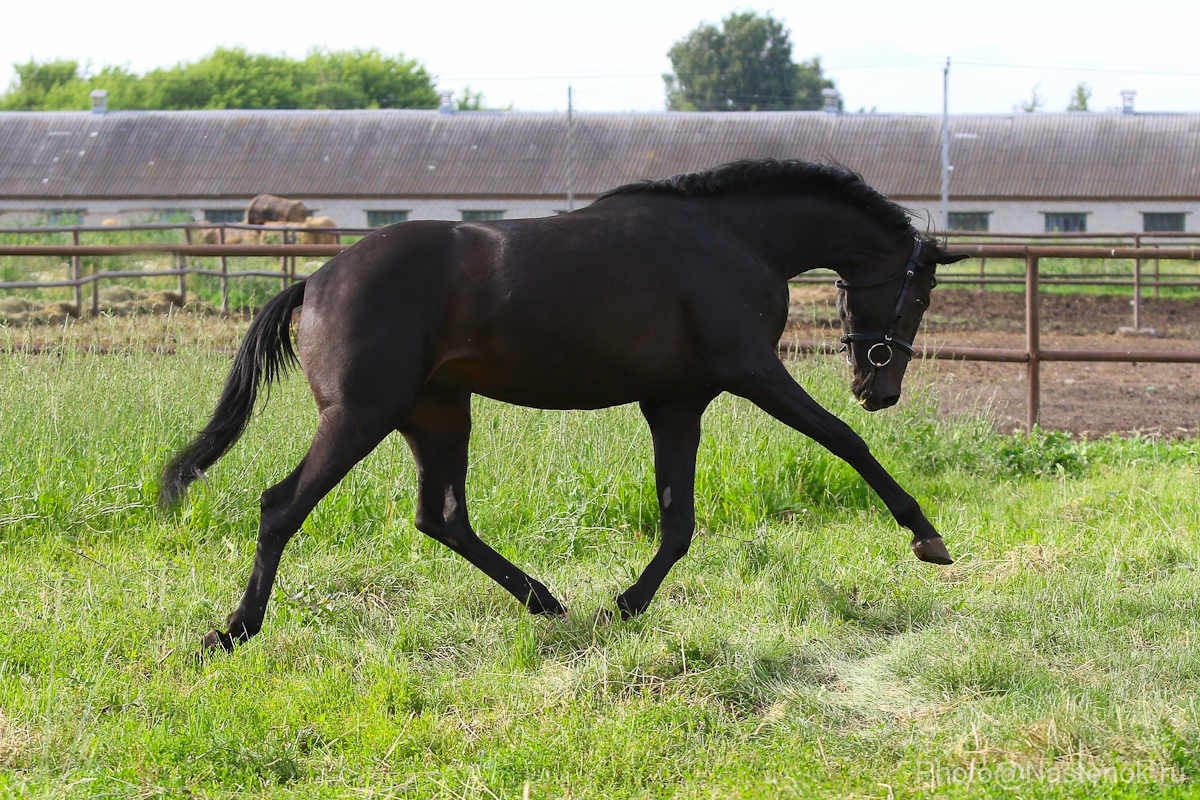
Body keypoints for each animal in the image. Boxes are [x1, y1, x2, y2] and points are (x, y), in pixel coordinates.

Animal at [162, 155, 964, 652]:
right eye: (921, 293)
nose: (879, 390)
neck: (734, 238)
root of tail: (318, 279)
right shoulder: (751, 372)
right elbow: (845, 443)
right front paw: (927, 538)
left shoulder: (676, 403)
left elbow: (678, 522)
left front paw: (623, 606)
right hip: (361, 416)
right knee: (282, 506)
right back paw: (233, 631)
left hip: (437, 414)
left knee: (442, 517)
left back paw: (547, 601)